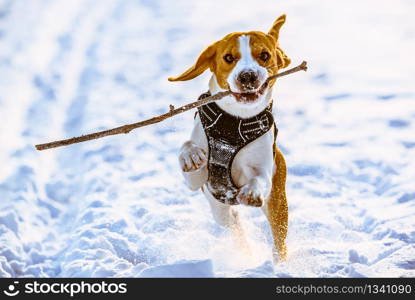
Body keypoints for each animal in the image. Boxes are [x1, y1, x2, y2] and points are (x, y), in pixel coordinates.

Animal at [168, 15, 290, 262]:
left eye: (265, 55)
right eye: (228, 58)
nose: (247, 76)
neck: (233, 123)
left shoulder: (264, 172)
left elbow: (259, 179)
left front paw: (252, 191)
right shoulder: (197, 183)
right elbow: (187, 149)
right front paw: (191, 155)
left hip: (278, 203)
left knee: (278, 240)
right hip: (221, 212)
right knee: (235, 228)